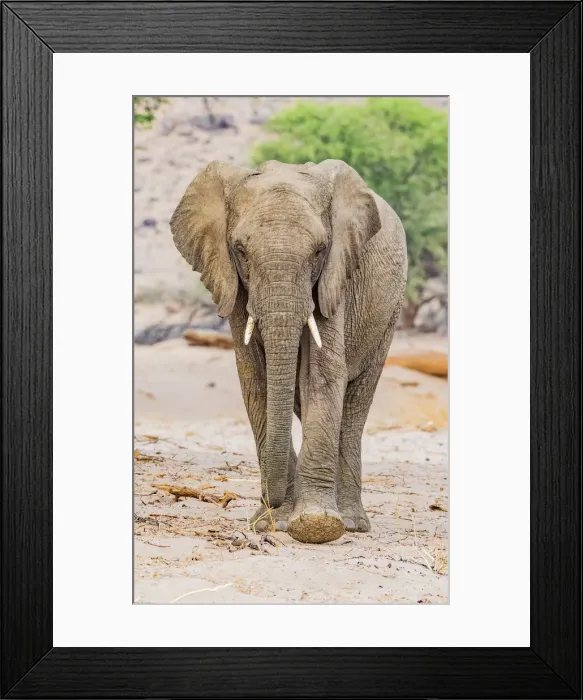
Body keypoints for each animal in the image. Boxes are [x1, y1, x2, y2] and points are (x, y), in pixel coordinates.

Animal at [170, 159, 407, 544]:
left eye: (320, 250)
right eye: (239, 250)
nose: (270, 502)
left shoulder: (335, 278)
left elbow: (323, 375)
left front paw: (315, 525)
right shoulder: (234, 285)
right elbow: (256, 379)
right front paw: (273, 523)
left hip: (389, 314)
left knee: (354, 405)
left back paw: (351, 522)